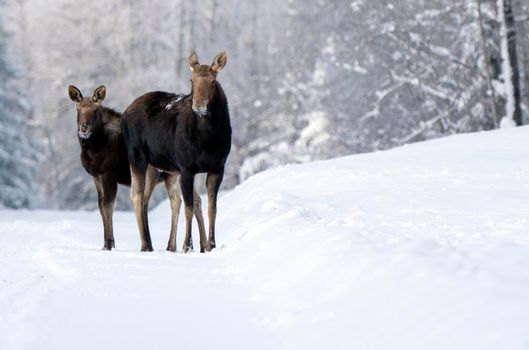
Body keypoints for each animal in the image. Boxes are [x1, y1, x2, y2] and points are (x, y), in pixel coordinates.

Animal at [68, 84, 204, 252]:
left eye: (95, 110)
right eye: (78, 109)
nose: (84, 128)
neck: (91, 148)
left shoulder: (108, 173)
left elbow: (108, 206)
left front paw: (109, 243)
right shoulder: (96, 176)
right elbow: (100, 207)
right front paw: (105, 244)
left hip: (162, 172)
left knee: (164, 201)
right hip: (175, 174)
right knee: (190, 200)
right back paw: (195, 245)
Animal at [125, 52, 232, 253]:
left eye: (213, 81)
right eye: (191, 80)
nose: (199, 105)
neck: (207, 138)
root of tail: (125, 113)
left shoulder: (217, 167)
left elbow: (211, 208)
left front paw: (211, 245)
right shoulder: (186, 168)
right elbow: (189, 208)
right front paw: (187, 245)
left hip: (159, 168)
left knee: (154, 199)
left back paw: (160, 244)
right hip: (137, 158)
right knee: (137, 196)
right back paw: (145, 245)